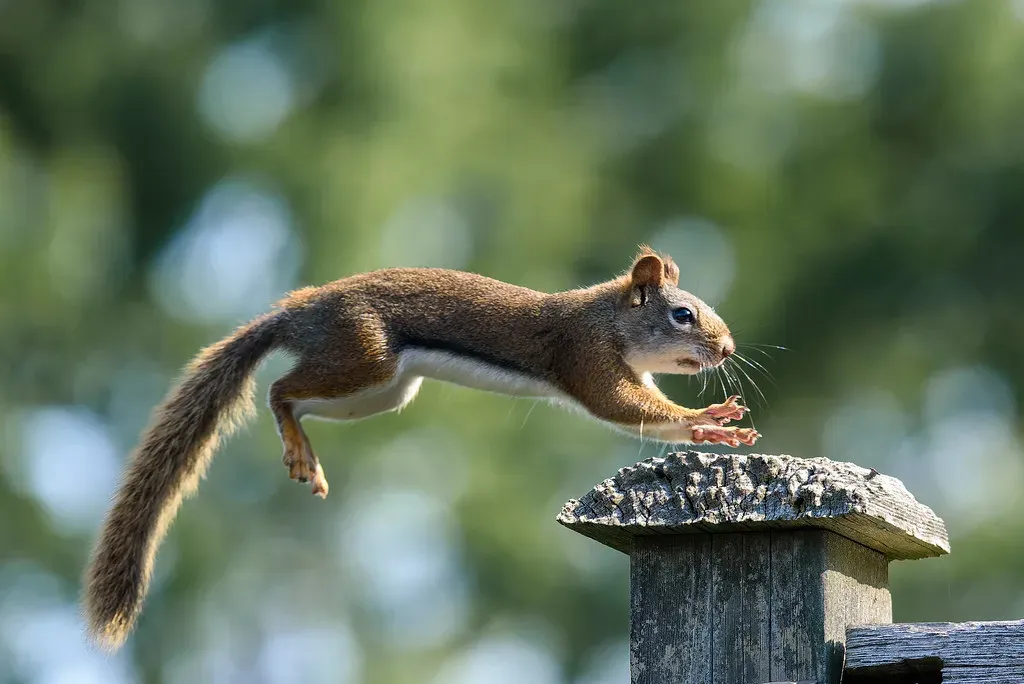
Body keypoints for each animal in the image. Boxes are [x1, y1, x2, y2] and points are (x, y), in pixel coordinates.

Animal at [83, 245, 759, 650]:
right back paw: (297, 446)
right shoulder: (586, 358)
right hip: (364, 357)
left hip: (382, 392)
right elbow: (628, 409)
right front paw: (709, 421)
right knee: (279, 389)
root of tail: (297, 314)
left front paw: (714, 422)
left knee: (294, 398)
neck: (607, 317)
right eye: (681, 315)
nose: (727, 349)